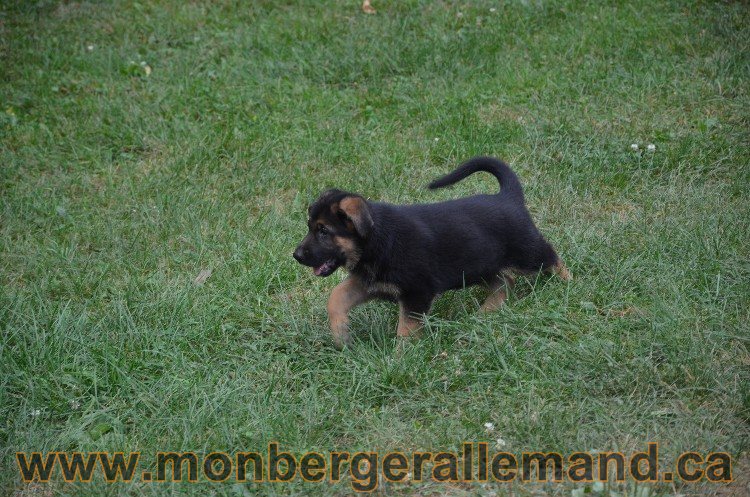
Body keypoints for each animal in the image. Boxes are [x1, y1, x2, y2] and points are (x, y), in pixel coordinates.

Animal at [294, 157, 568, 346]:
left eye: (323, 231)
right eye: (310, 227)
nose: (296, 255)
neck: (376, 240)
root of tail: (508, 197)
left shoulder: (417, 292)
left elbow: (406, 329)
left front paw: (401, 359)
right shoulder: (368, 283)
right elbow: (336, 297)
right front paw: (341, 334)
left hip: (526, 252)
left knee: (551, 257)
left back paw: (568, 283)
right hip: (480, 265)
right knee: (504, 281)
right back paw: (486, 313)